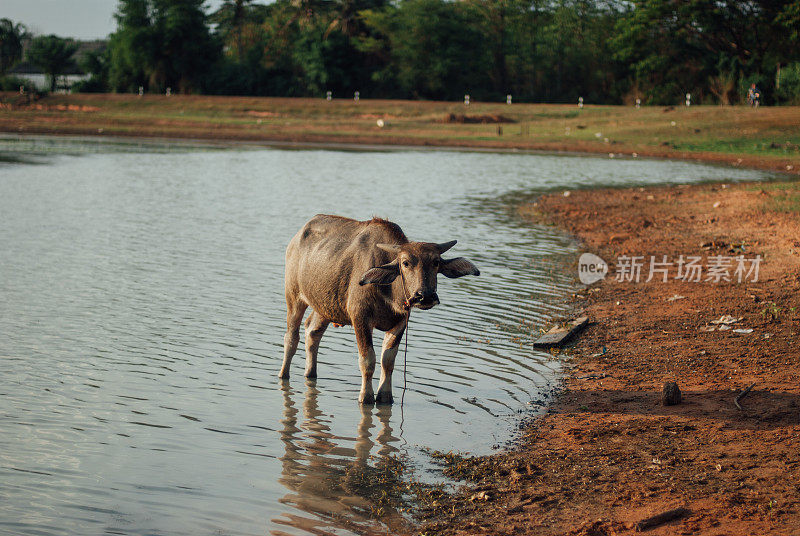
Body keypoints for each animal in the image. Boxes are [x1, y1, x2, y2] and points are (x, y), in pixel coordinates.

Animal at [282, 216, 482, 404]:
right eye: (405, 263)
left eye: (436, 262)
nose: (424, 296)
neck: (389, 291)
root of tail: (297, 238)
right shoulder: (360, 318)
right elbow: (367, 360)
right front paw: (366, 397)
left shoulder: (401, 321)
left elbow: (388, 360)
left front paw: (385, 396)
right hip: (294, 297)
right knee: (291, 337)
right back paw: (284, 374)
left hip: (325, 306)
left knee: (312, 331)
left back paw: (310, 373)